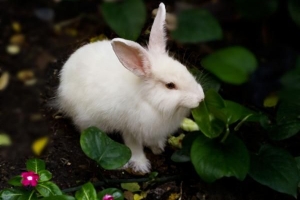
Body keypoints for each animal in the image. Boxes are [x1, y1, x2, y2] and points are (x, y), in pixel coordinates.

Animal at [56, 2, 204, 173]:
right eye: (170, 85)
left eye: (186, 69)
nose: (201, 98)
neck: (150, 101)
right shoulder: (130, 128)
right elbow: (134, 146)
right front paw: (141, 165)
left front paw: (158, 148)